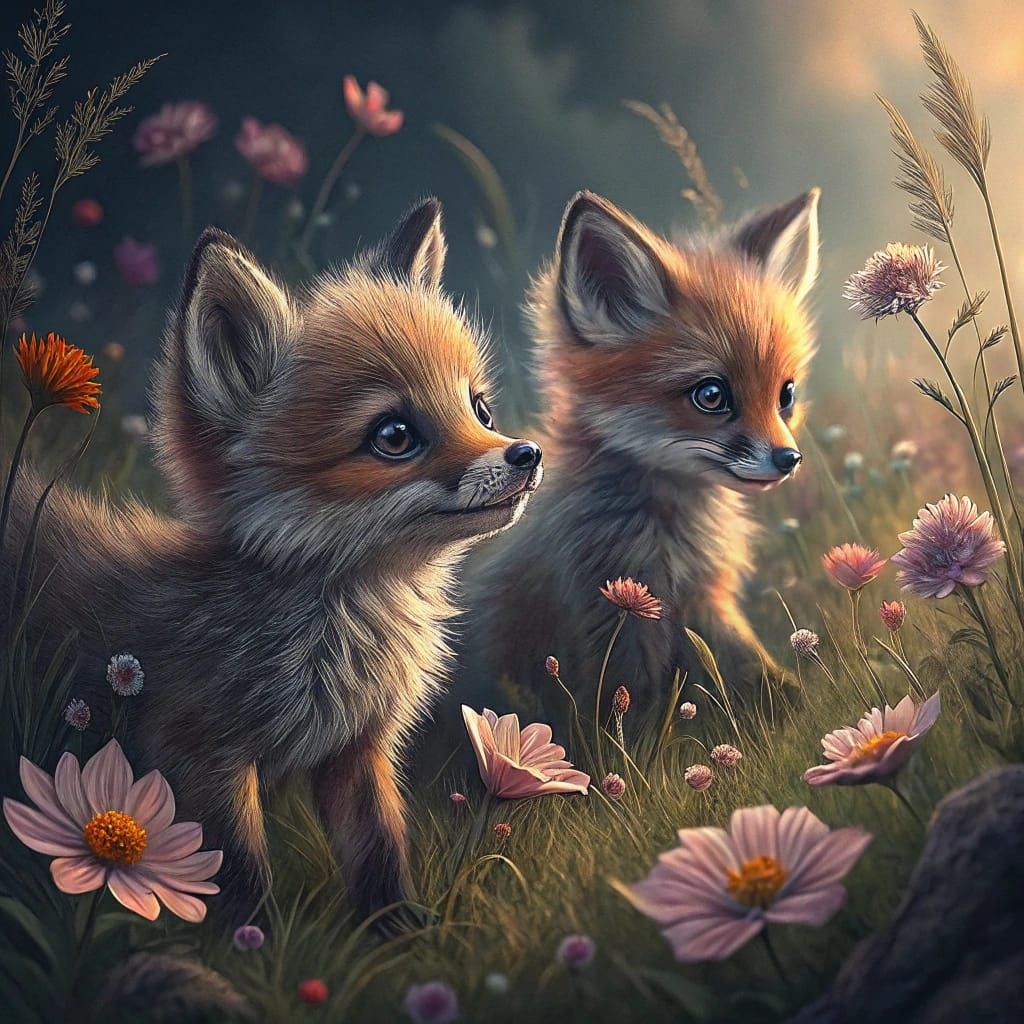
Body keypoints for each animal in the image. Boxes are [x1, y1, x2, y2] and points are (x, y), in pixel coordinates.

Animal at [3, 198, 543, 925]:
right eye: (394, 435)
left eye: (478, 409)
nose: (527, 454)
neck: (336, 640)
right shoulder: (200, 755)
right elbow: (234, 878)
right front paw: (248, 945)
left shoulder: (356, 749)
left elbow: (379, 852)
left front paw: (401, 931)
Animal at [479, 188, 819, 703]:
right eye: (711, 395)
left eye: (786, 395)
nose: (789, 459)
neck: (672, 540)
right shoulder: (614, 614)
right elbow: (631, 709)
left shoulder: (704, 599)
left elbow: (750, 664)